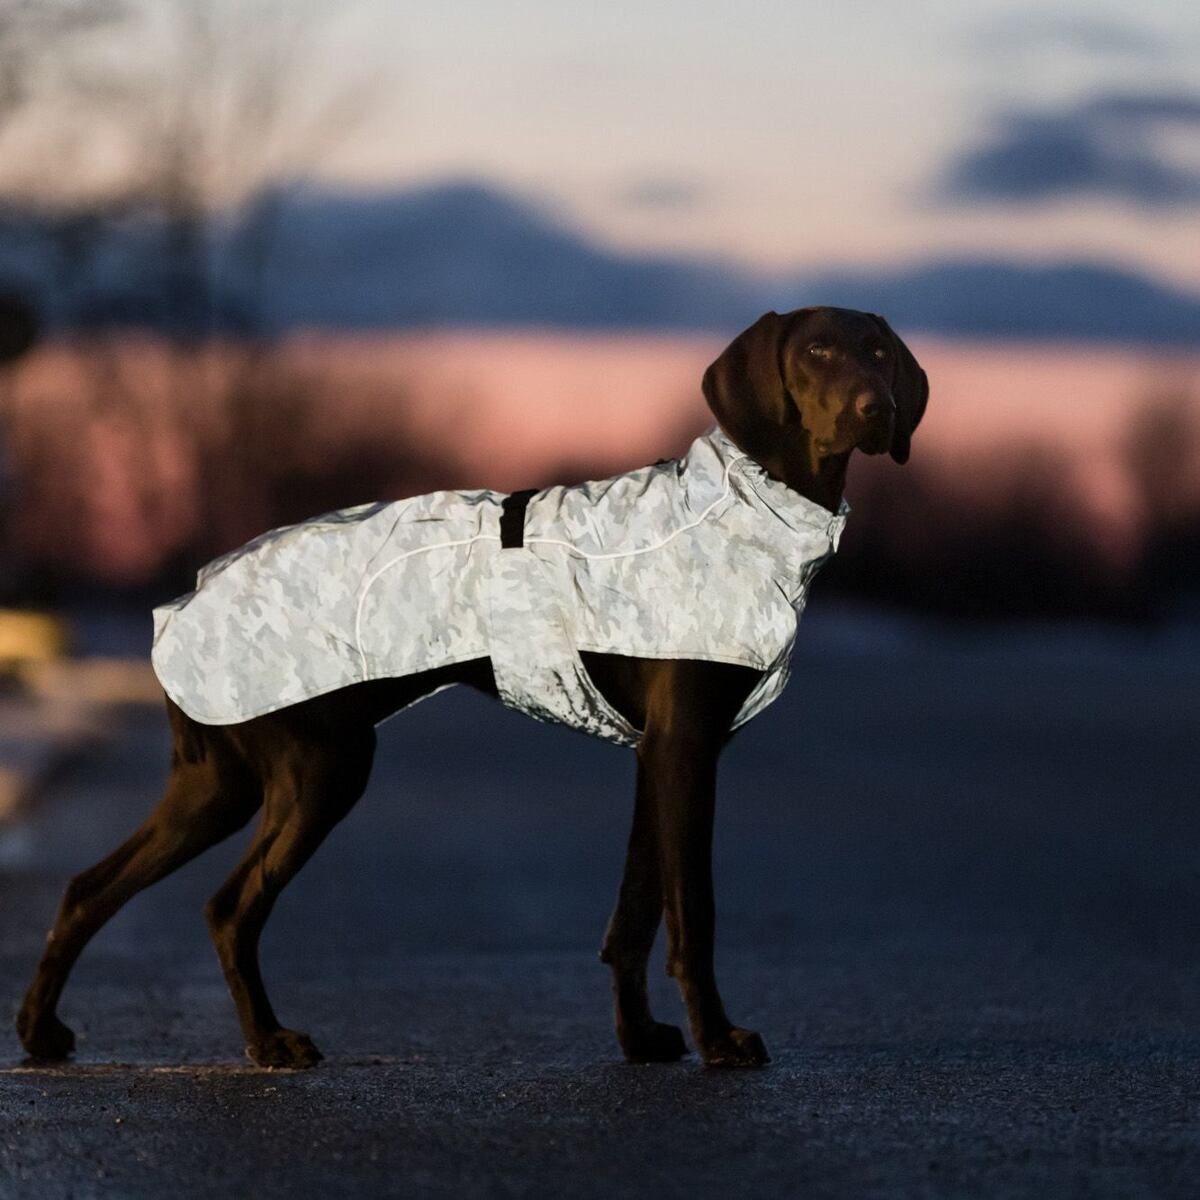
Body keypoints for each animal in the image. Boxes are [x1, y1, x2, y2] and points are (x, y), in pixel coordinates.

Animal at [16, 307, 927, 1069]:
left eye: (878, 351)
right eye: (816, 351)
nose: (874, 407)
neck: (746, 506)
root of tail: (183, 600)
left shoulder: (657, 756)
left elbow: (633, 915)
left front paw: (640, 1039)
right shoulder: (686, 750)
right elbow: (689, 912)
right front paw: (719, 1039)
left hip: (220, 784)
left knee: (87, 888)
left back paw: (40, 1030)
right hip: (321, 768)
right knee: (229, 907)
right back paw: (269, 1043)